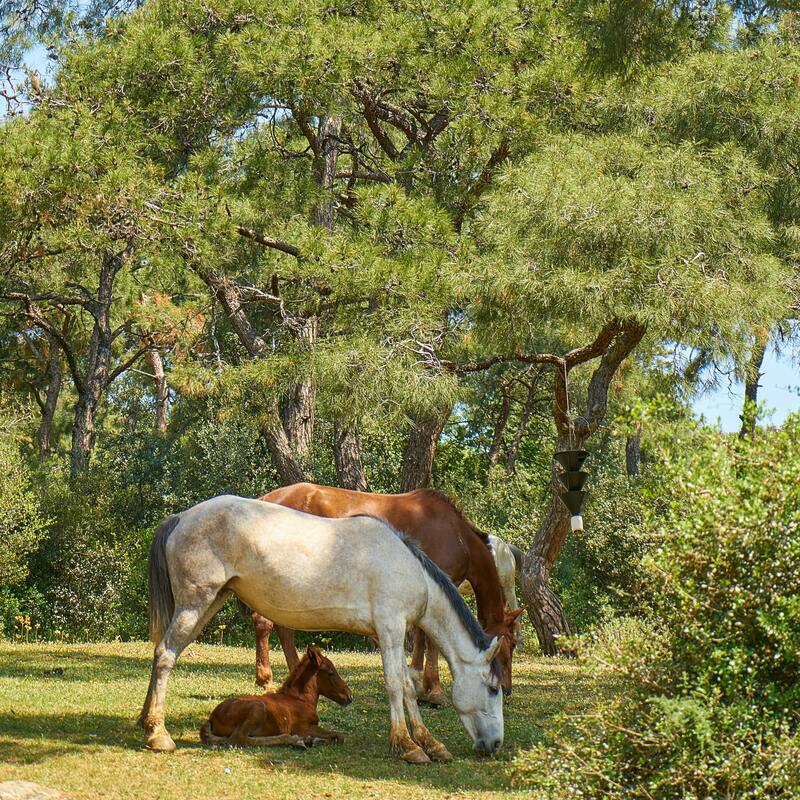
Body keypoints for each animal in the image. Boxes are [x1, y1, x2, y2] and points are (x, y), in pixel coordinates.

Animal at [200, 645, 350, 748]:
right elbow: (339, 736)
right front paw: (313, 740)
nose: (349, 696)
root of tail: (212, 717)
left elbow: (337, 735)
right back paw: (294, 740)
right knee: (238, 739)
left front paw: (313, 740)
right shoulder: (304, 728)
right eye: (331, 673)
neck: (300, 699)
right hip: (258, 707)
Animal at [251, 483, 522, 706]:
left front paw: (419, 683)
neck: (457, 536)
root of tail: (266, 499)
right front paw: (434, 690)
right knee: (265, 622)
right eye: (511, 643)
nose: (507, 689)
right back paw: (268, 679)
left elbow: (422, 637)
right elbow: (431, 639)